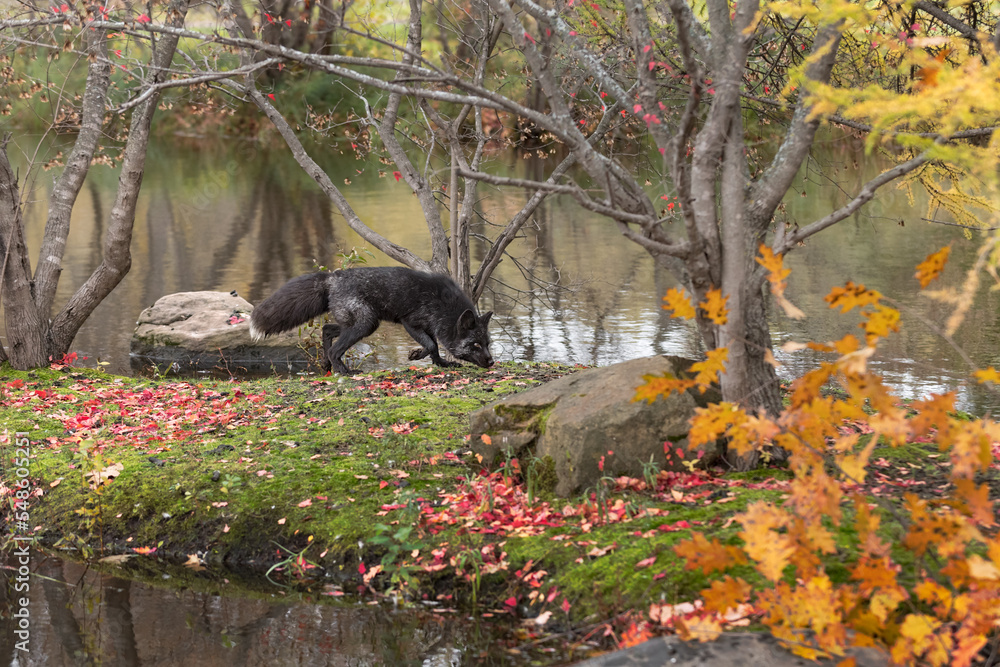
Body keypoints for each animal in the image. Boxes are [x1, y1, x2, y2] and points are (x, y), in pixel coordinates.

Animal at [249, 267, 494, 375]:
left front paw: (441, 363)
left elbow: (433, 347)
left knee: (327, 329)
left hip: (359, 323)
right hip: (366, 324)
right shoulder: (410, 322)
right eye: (475, 344)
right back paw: (345, 372)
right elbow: (431, 344)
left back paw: (328, 366)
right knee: (335, 349)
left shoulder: (430, 326)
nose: (491, 362)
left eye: (488, 344)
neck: (445, 305)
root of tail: (331, 277)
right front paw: (417, 355)